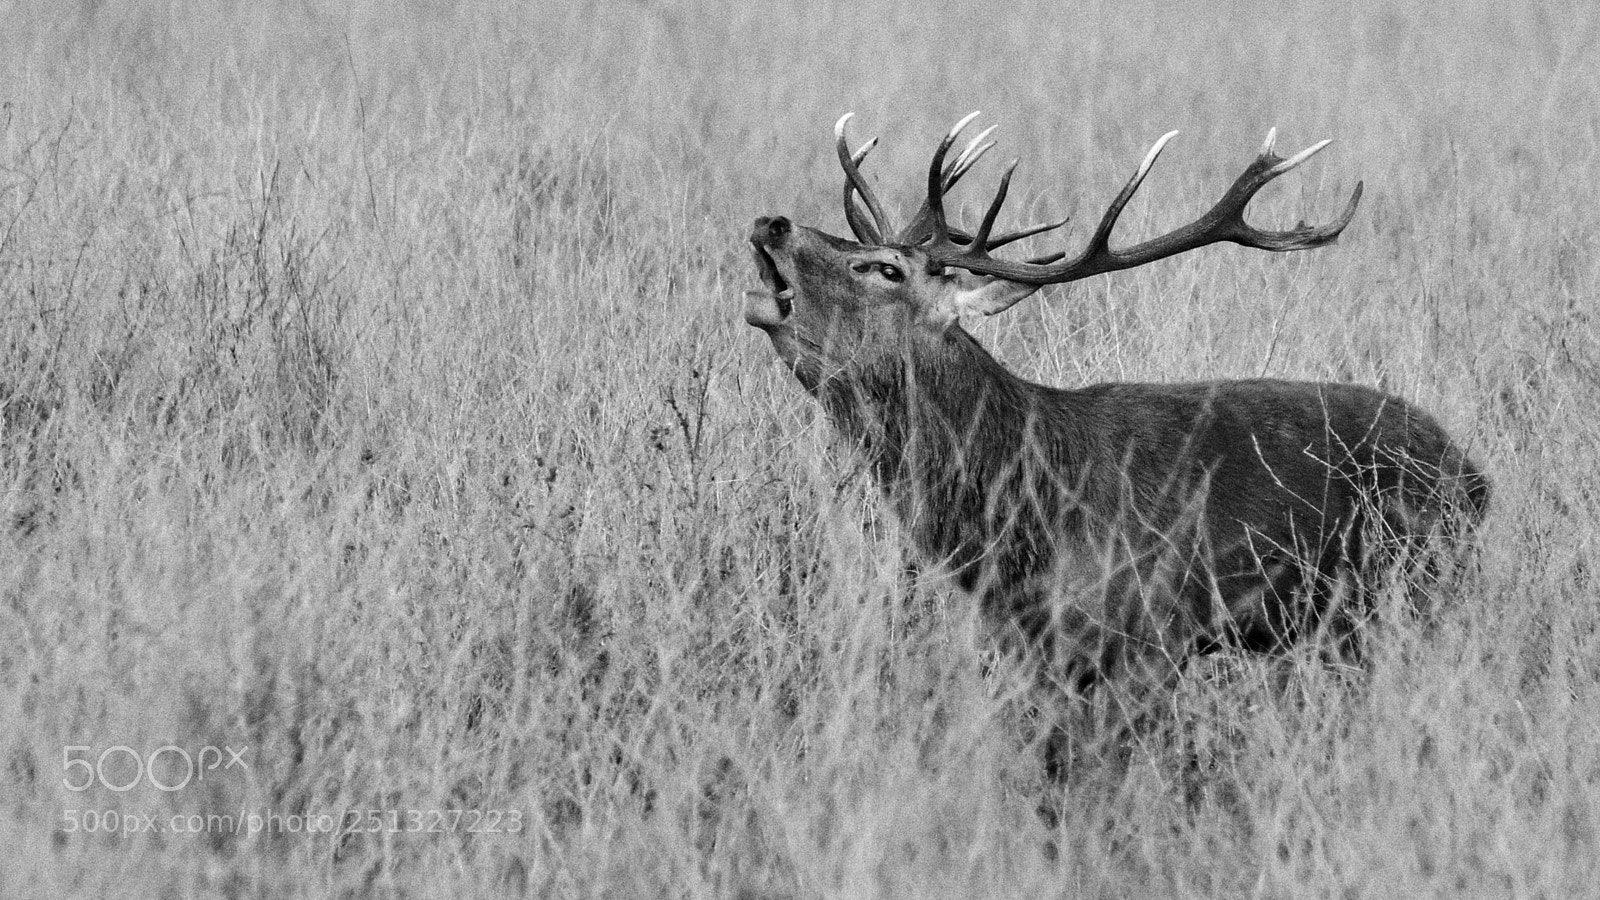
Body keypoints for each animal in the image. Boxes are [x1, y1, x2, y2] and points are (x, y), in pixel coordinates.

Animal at [744, 112, 1489, 750]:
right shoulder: (1030, 647)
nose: (771, 222)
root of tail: (1476, 477)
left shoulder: (1155, 635)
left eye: (886, 269)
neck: (1024, 521)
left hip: (1410, 590)